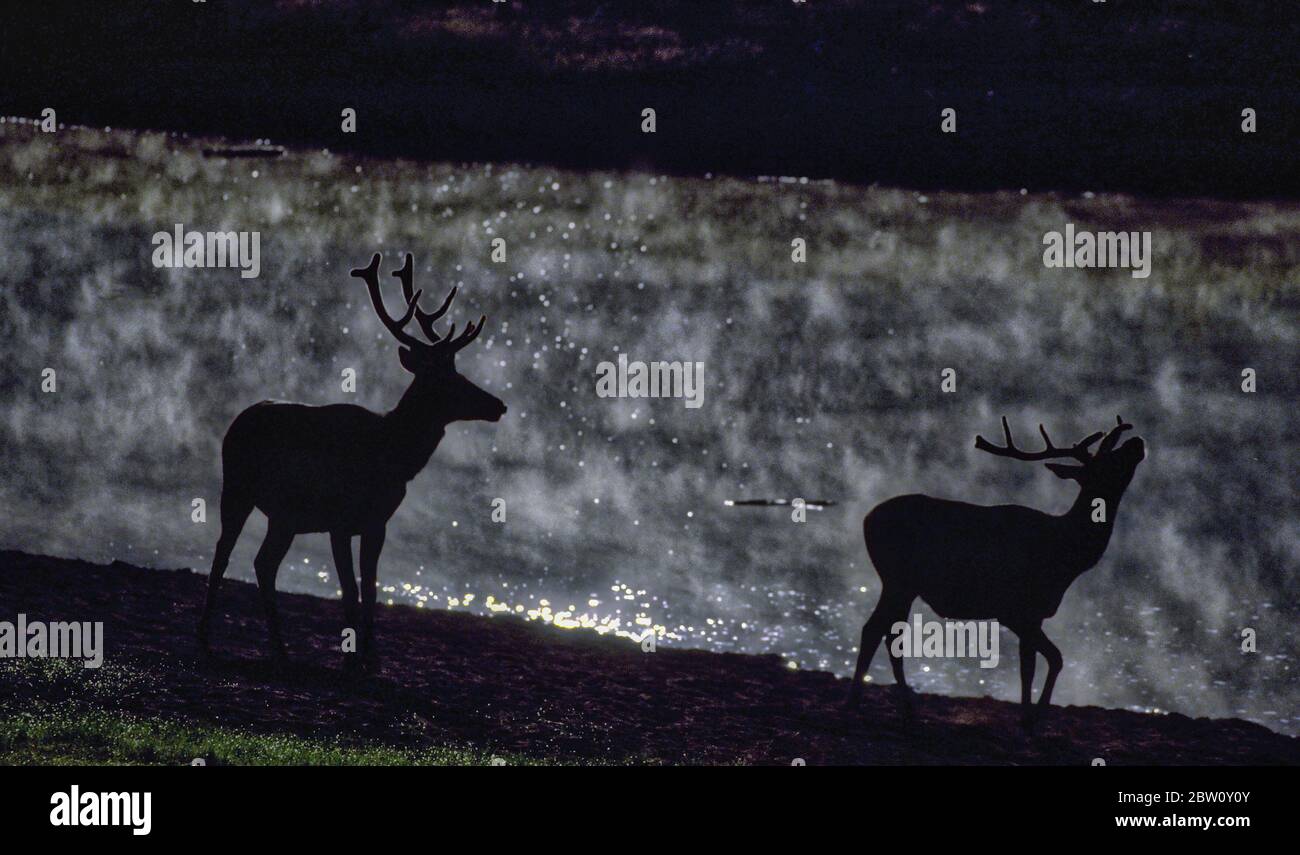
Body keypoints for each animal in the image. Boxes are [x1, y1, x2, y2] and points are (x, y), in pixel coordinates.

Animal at [195, 249, 504, 670]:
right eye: (447, 379)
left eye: (460, 373)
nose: (499, 405)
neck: (391, 456)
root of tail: (237, 421)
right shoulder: (339, 521)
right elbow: (349, 591)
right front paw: (353, 660)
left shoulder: (377, 523)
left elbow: (371, 589)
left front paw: (372, 659)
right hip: (236, 489)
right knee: (223, 554)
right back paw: (206, 639)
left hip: (285, 517)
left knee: (263, 563)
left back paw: (281, 651)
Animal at [847, 413, 1144, 727]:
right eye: (1106, 462)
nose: (1136, 440)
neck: (1066, 558)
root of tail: (866, 519)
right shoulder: (1016, 610)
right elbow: (1041, 663)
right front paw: (1031, 719)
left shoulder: (1032, 615)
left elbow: (1043, 661)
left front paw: (1032, 717)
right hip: (896, 579)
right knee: (875, 630)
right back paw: (856, 703)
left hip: (904, 586)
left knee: (891, 634)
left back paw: (905, 707)